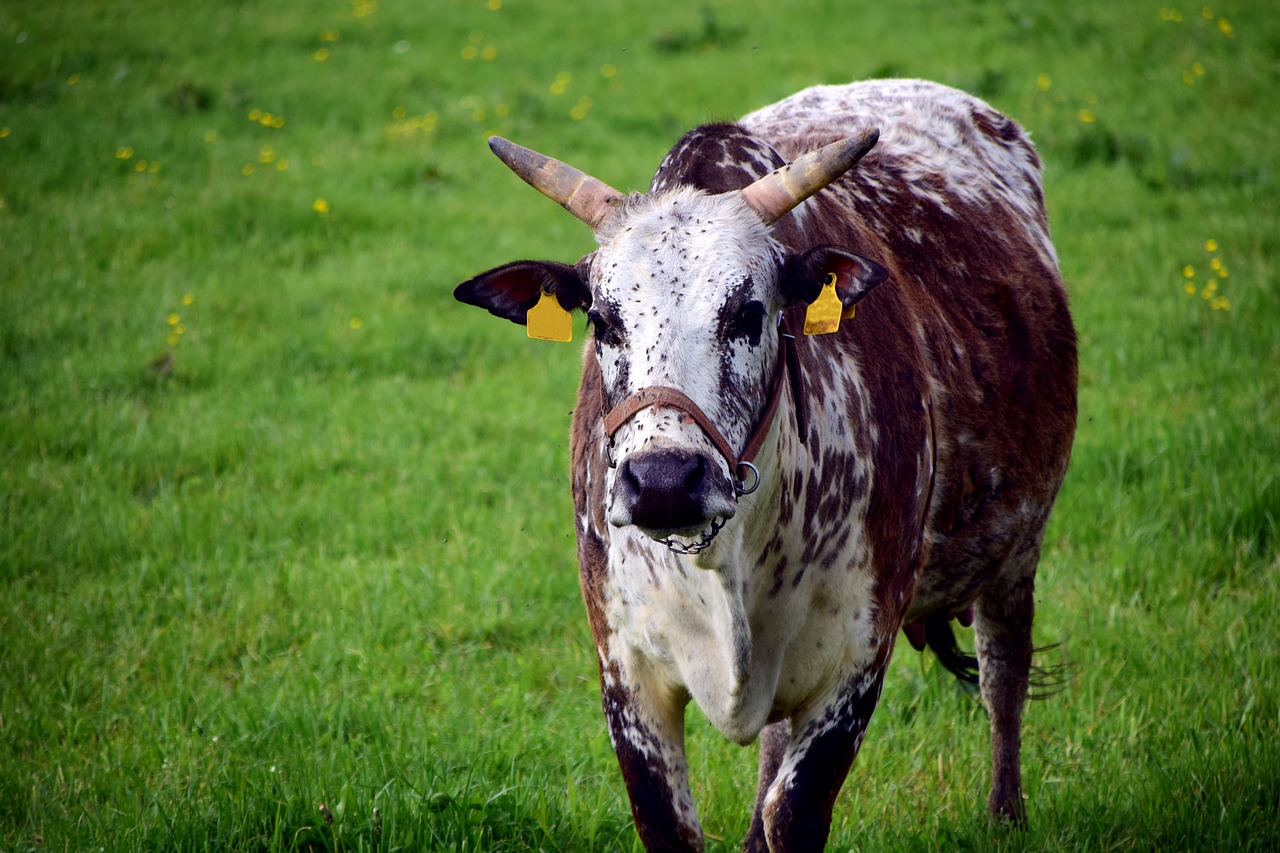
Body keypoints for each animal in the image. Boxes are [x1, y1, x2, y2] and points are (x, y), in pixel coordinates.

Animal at [455, 76, 1075, 845]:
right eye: (601, 319)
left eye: (748, 312)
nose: (663, 481)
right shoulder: (625, 671)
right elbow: (671, 819)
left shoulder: (856, 664)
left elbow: (795, 811)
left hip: (1019, 548)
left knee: (1003, 675)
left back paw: (1005, 812)